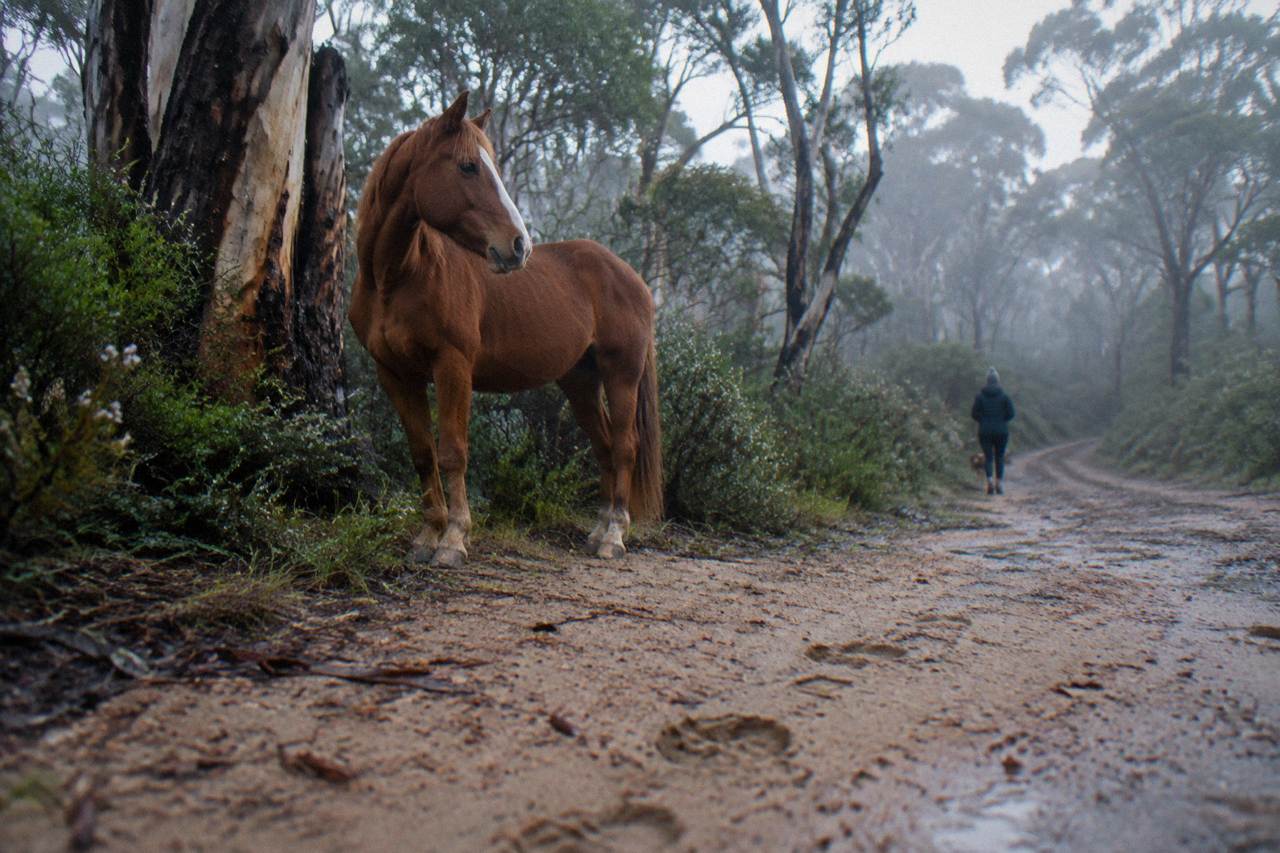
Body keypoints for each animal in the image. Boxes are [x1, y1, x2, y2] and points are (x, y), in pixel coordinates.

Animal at [348, 91, 663, 568]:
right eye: (467, 166)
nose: (518, 246)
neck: (398, 276)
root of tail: (634, 279)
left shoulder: (453, 366)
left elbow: (453, 452)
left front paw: (454, 539)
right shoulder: (395, 374)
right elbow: (422, 454)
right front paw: (427, 536)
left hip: (621, 374)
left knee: (625, 446)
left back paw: (614, 535)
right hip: (580, 381)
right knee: (605, 446)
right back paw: (596, 532)